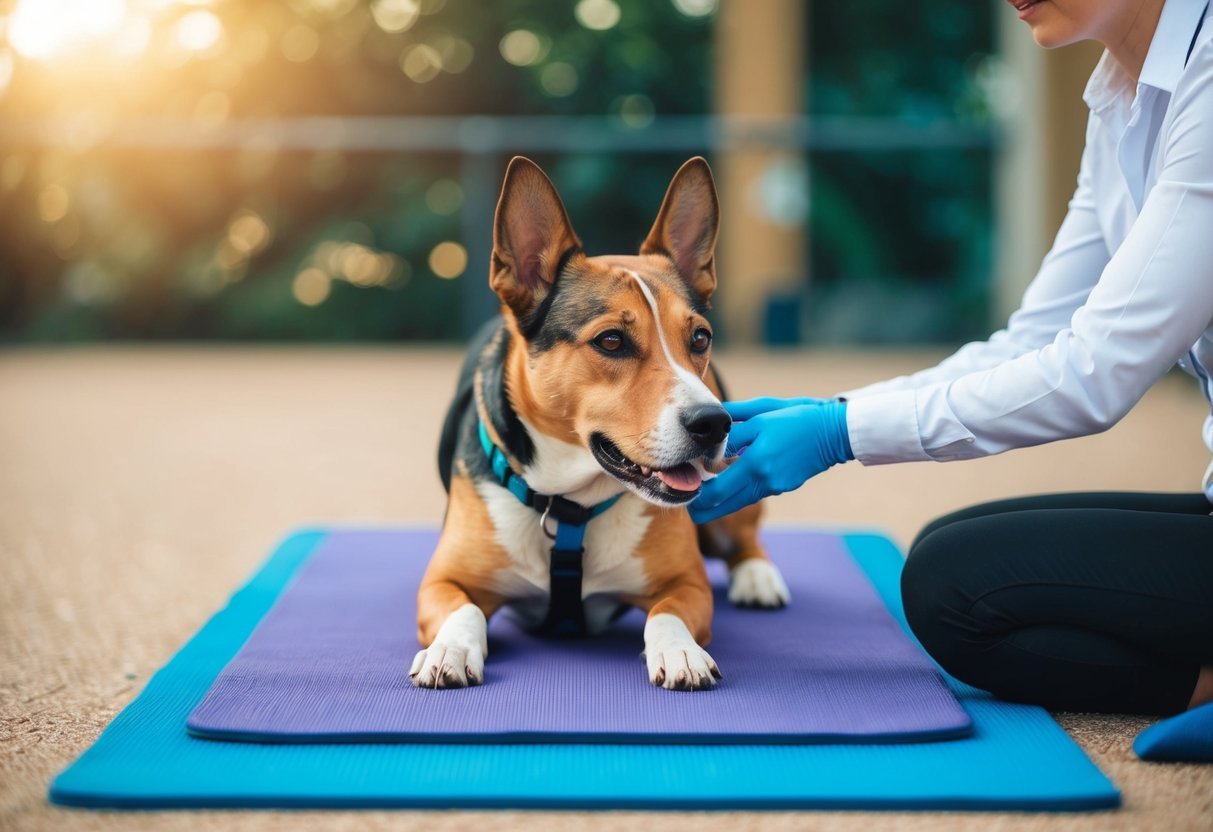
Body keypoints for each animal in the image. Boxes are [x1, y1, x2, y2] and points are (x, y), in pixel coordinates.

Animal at [412, 156, 790, 688]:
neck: (571, 507)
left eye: (699, 338)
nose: (714, 424)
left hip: (725, 501)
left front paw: (680, 650)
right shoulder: (443, 579)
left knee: (744, 536)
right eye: (611, 341)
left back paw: (757, 575)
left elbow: (667, 611)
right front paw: (450, 647)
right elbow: (461, 609)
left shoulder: (687, 583)